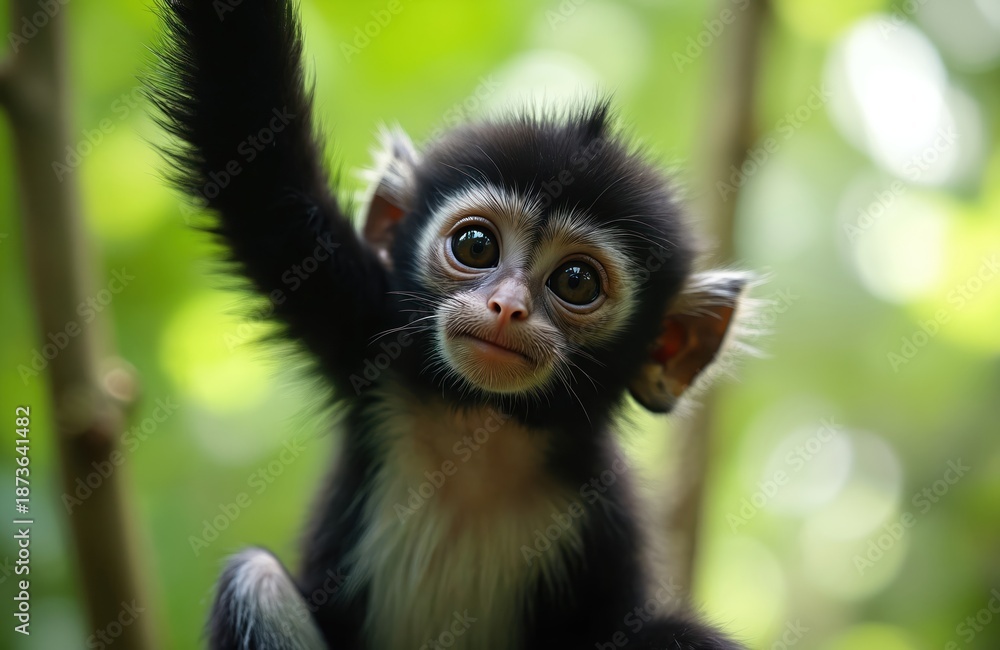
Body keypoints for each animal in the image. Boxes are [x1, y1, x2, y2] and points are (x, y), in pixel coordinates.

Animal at [149, 1, 753, 648]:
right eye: (475, 245)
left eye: (576, 282)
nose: (507, 306)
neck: (480, 426)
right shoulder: (361, 323)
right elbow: (253, 154)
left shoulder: (604, 521)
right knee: (256, 581)